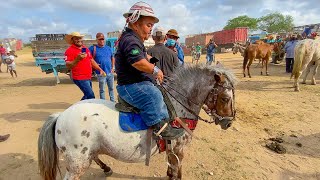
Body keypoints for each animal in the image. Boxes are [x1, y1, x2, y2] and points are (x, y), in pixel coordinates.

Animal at [38, 65, 238, 180]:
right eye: (225, 98)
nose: (228, 123)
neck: (177, 108)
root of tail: (60, 116)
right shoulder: (179, 149)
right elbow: (178, 171)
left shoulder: (172, 151)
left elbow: (171, 168)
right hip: (77, 162)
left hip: (86, 153)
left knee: (95, 155)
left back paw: (106, 167)